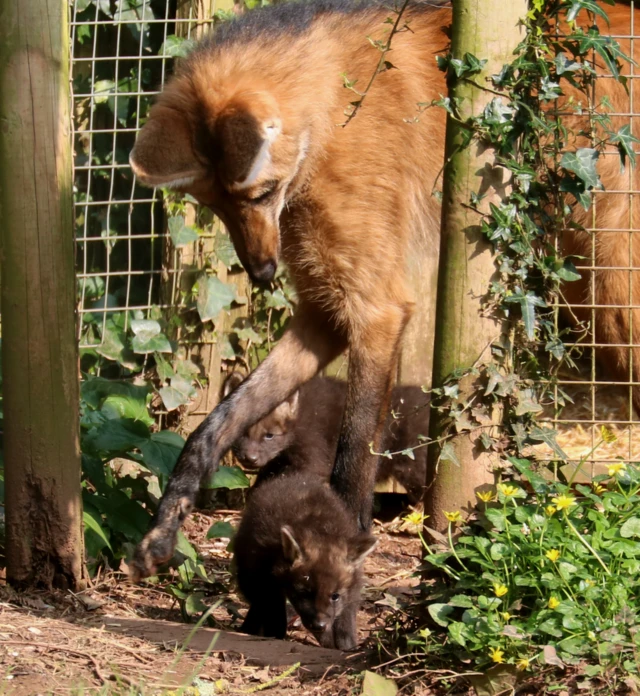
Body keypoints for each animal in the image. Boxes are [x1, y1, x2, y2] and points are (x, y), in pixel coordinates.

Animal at [225, 372, 430, 502]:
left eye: (269, 435)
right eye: (242, 433)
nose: (250, 458)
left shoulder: (314, 458)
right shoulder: (280, 458)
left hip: (412, 466)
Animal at [234, 470, 376, 648]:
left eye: (335, 596)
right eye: (303, 593)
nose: (319, 626)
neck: (318, 528)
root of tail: (295, 477)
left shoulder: (352, 592)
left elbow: (346, 621)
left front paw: (347, 647)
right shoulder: (264, 577)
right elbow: (272, 610)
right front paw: (275, 635)